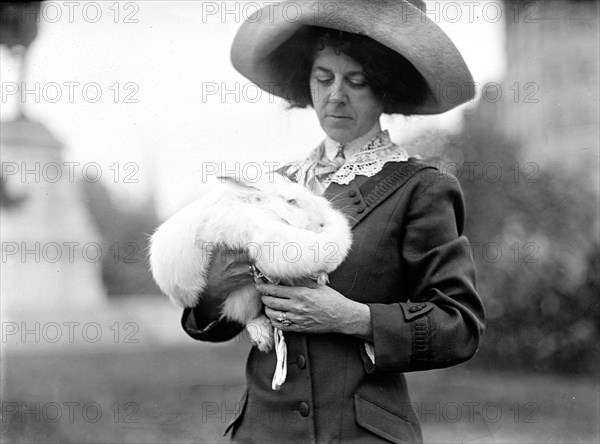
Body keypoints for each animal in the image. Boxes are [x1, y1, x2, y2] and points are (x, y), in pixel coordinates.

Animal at [149, 175, 352, 352]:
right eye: (291, 201)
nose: (322, 223)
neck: (260, 208)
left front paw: (322, 276)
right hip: (244, 294)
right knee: (246, 317)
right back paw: (263, 339)